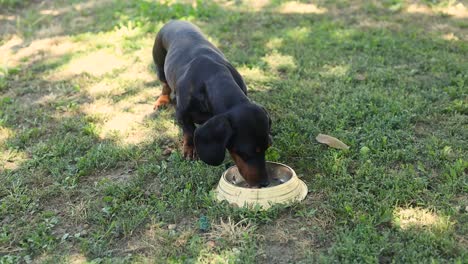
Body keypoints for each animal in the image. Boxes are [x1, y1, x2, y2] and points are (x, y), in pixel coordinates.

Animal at [152, 20, 272, 187]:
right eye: (245, 153)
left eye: (268, 145)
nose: (265, 183)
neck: (214, 77)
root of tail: (173, 21)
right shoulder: (182, 113)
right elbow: (189, 131)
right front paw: (190, 150)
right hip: (159, 65)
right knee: (164, 85)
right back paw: (162, 100)